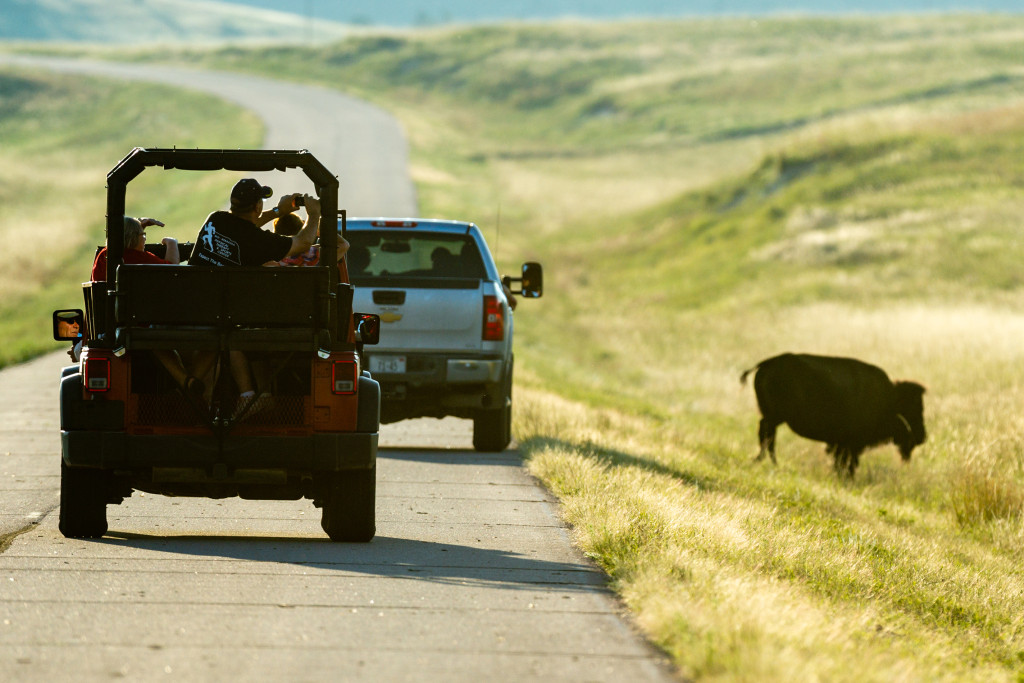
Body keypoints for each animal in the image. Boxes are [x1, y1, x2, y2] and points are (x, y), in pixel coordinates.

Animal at [741, 356, 925, 479]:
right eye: (913, 409)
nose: (922, 436)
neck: (890, 398)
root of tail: (768, 362)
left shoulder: (845, 444)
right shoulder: (850, 444)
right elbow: (846, 461)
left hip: (774, 417)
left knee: (767, 435)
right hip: (775, 417)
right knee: (768, 435)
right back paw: (767, 461)